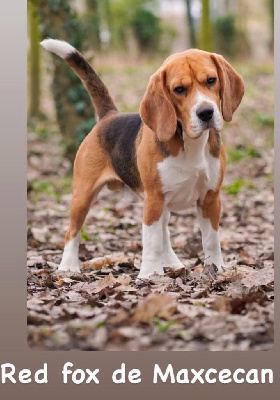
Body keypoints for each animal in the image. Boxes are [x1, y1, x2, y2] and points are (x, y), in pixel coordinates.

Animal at [40, 39, 244, 278]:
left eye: (211, 80)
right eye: (179, 90)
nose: (206, 113)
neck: (189, 142)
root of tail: (109, 116)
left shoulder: (210, 197)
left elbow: (211, 239)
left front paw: (216, 269)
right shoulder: (154, 198)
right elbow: (152, 241)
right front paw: (150, 275)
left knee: (165, 233)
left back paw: (174, 264)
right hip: (83, 194)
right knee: (72, 231)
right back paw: (68, 266)